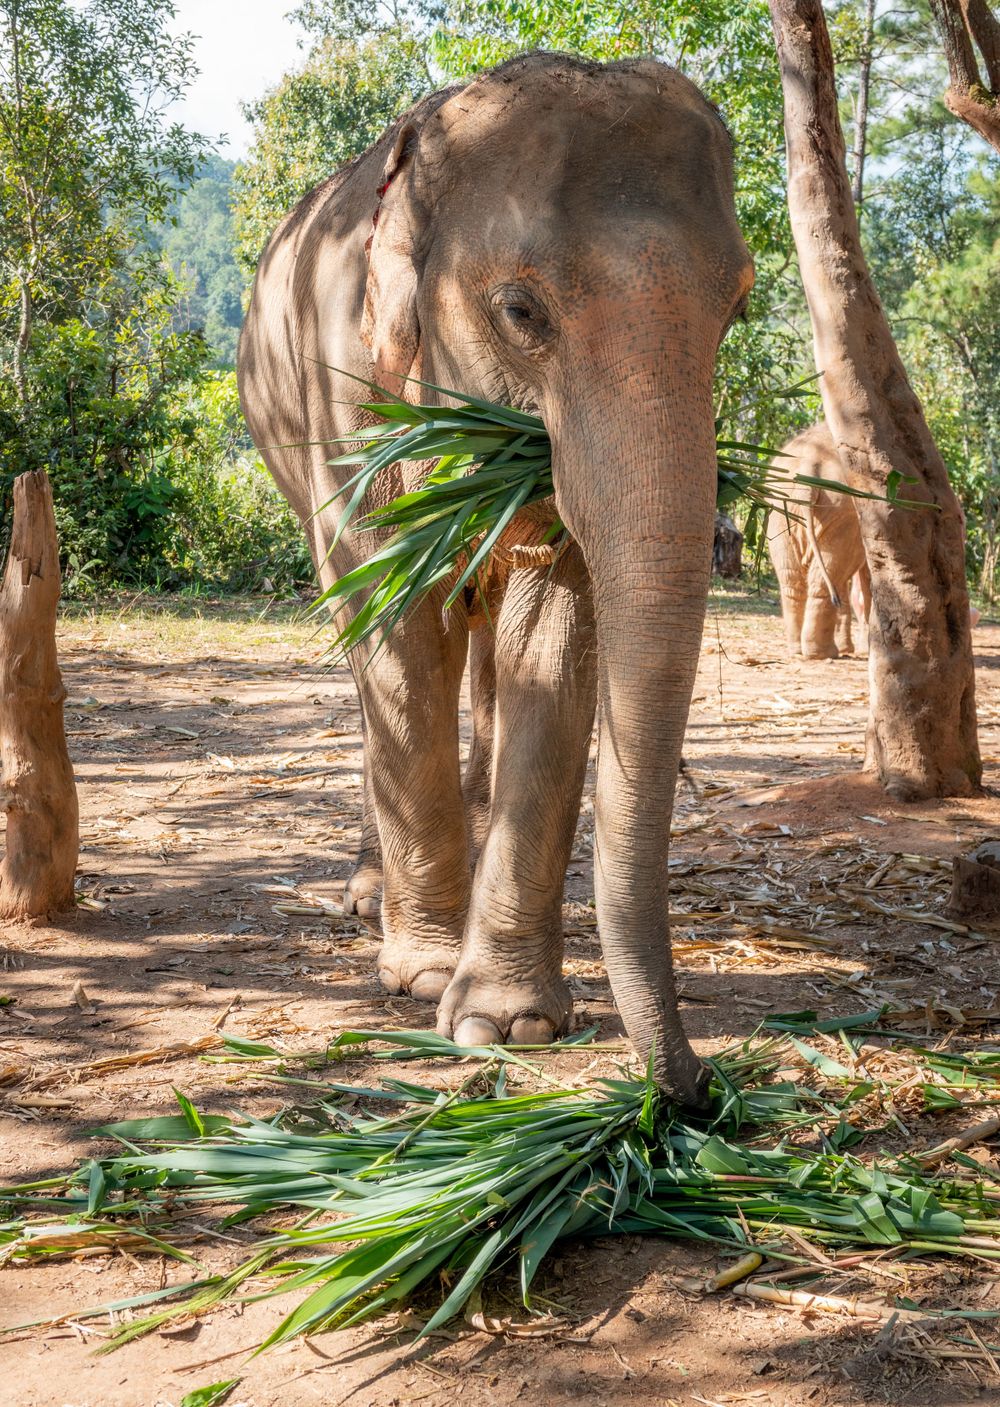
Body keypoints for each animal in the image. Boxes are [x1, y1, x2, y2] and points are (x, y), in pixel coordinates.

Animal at [237, 52, 754, 1106]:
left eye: (738, 308)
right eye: (522, 311)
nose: (696, 1085)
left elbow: (554, 638)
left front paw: (507, 1021)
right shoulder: (346, 396)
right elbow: (394, 630)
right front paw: (426, 976)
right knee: (379, 658)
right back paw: (370, 899)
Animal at [766, 422, 871, 659]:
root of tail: (808, 468)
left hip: (781, 510)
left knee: (793, 578)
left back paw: (800, 651)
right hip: (841, 510)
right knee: (827, 577)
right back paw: (822, 653)